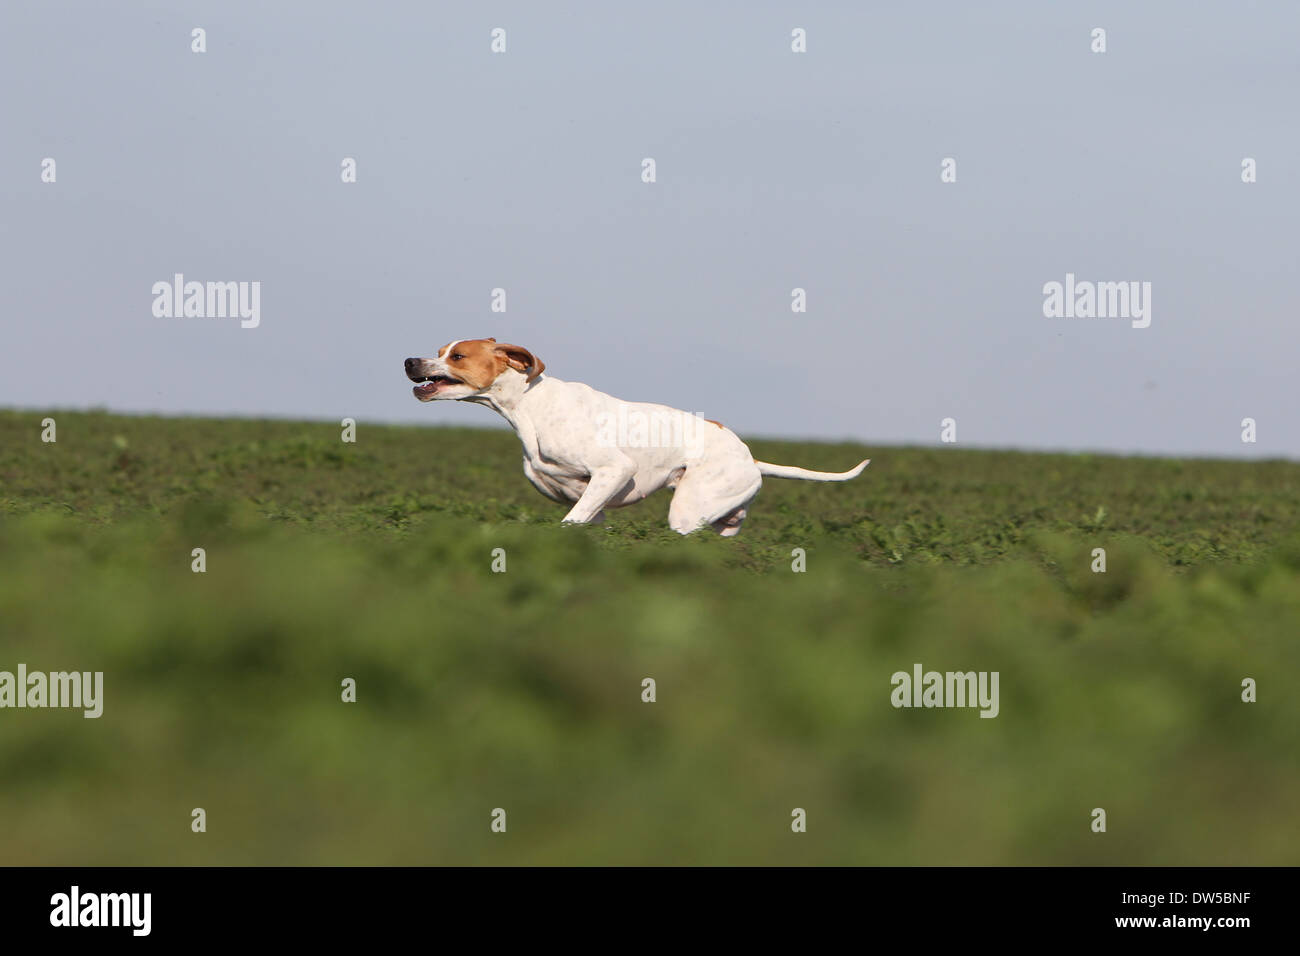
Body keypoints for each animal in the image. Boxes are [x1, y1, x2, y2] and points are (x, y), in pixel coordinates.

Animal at [403, 340, 873, 538]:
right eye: (439, 350)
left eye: (456, 356)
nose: (409, 361)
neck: (528, 404)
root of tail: (751, 459)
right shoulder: (581, 493)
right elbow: (585, 518)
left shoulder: (614, 470)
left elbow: (570, 522)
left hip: (687, 509)